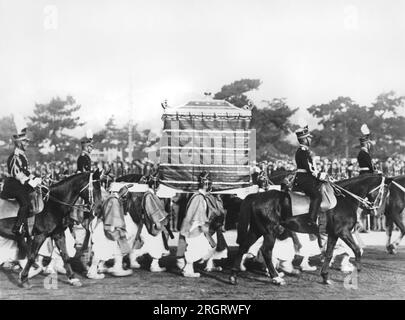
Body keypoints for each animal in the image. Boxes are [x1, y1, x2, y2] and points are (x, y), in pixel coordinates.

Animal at [229, 172, 386, 284]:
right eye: (383, 191)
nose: (376, 210)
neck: (345, 199)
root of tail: (256, 196)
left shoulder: (333, 234)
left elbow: (329, 253)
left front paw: (325, 277)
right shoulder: (343, 232)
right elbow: (356, 250)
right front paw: (356, 271)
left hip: (256, 230)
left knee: (244, 246)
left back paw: (234, 274)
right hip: (269, 231)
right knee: (266, 251)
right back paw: (276, 277)